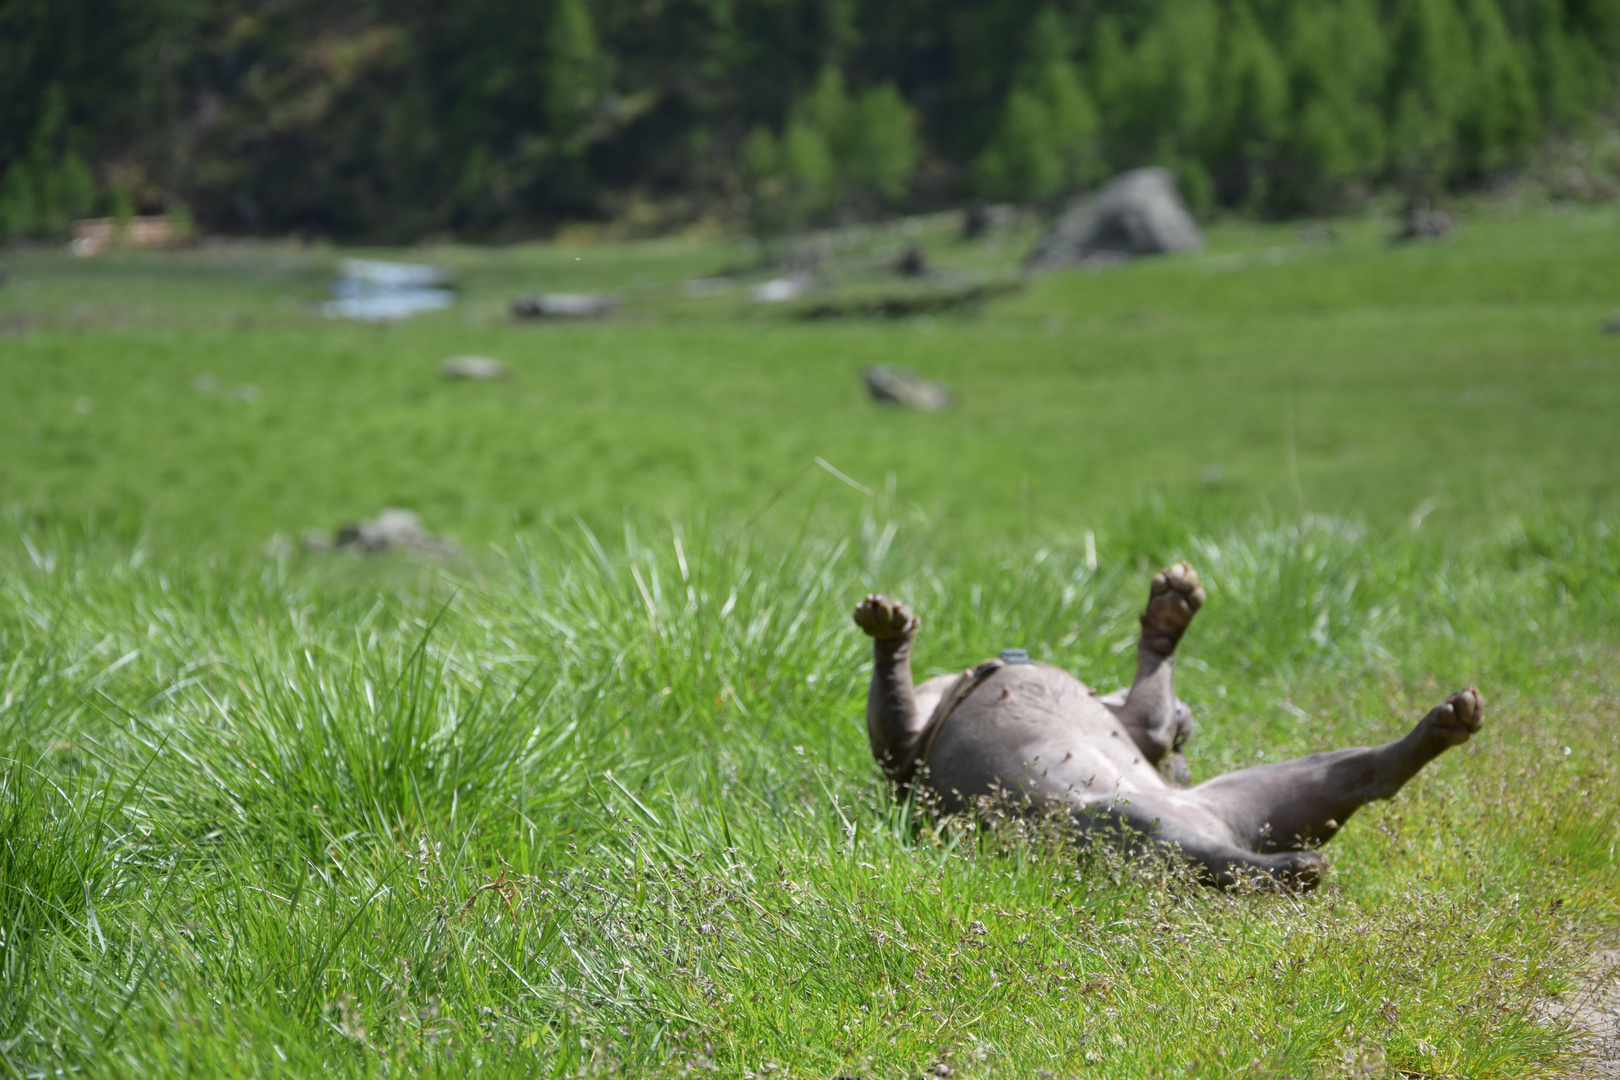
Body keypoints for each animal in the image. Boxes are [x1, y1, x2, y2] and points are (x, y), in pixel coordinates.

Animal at [855, 563, 1483, 893]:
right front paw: (891, 632)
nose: (1187, 724)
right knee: (1233, 858)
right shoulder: (902, 748)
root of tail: (1232, 830)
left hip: (1216, 804)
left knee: (1368, 778)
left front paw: (1169, 615)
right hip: (1142, 821)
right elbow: (892, 705)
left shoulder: (1141, 723)